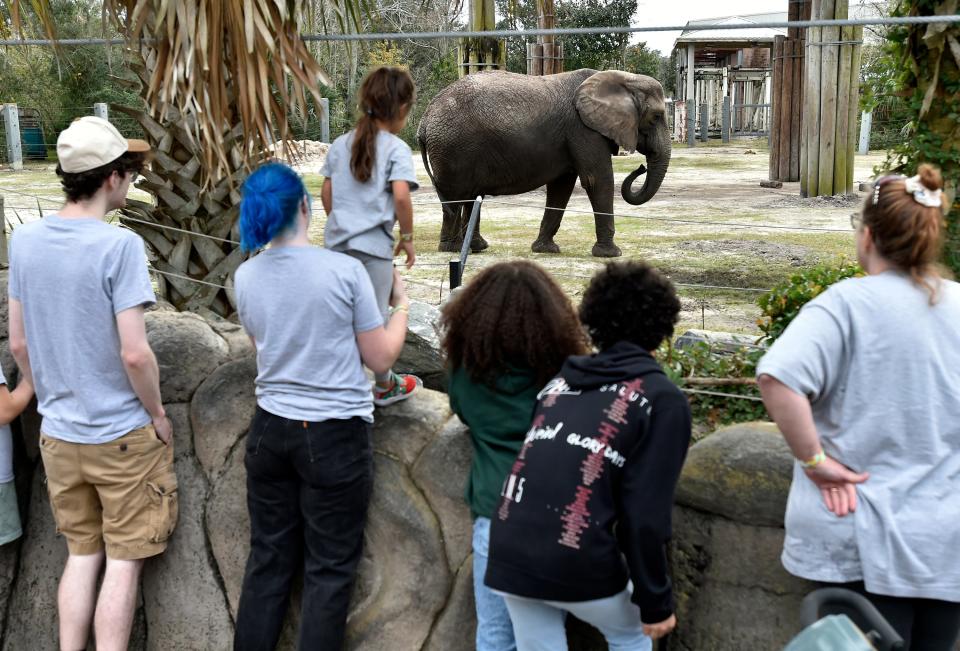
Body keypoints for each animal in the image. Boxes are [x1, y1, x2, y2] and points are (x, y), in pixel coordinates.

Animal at [416, 69, 672, 258]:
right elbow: (596, 180)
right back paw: (453, 249)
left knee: (470, 196)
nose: (641, 167)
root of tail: (424, 121)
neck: (625, 79)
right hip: (452, 148)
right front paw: (611, 254)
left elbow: (561, 187)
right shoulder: (583, 129)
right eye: (656, 117)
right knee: (457, 197)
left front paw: (545, 250)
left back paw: (475, 247)